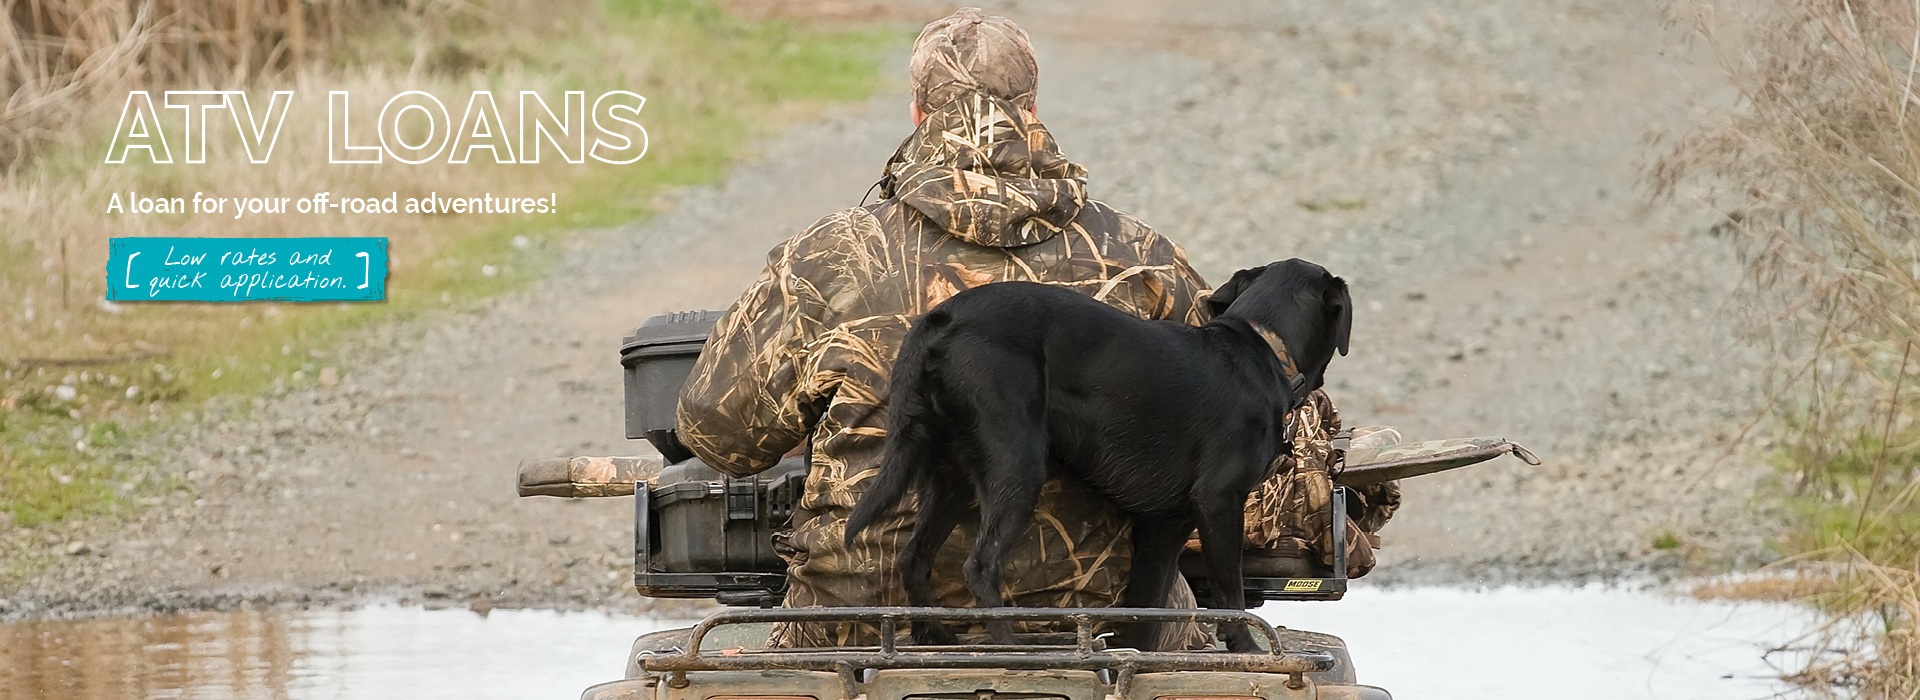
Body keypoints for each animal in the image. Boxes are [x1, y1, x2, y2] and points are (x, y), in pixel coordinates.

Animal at [848, 256, 1359, 648]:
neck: (1264, 346)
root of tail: (945, 317)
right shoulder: (1219, 502)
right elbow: (1230, 595)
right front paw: (1246, 650)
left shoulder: (1164, 526)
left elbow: (1144, 611)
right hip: (1016, 464)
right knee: (980, 564)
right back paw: (1011, 647)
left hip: (950, 471)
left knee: (914, 555)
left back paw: (934, 635)